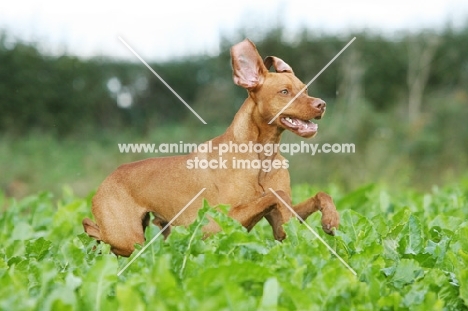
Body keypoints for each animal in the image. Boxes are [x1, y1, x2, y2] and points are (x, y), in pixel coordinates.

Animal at [83, 39, 340, 258]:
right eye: (284, 92)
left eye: (305, 90)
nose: (322, 104)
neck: (262, 155)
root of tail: (107, 179)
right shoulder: (223, 220)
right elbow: (278, 195)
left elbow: (319, 195)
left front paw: (331, 219)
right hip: (127, 236)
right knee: (102, 237)